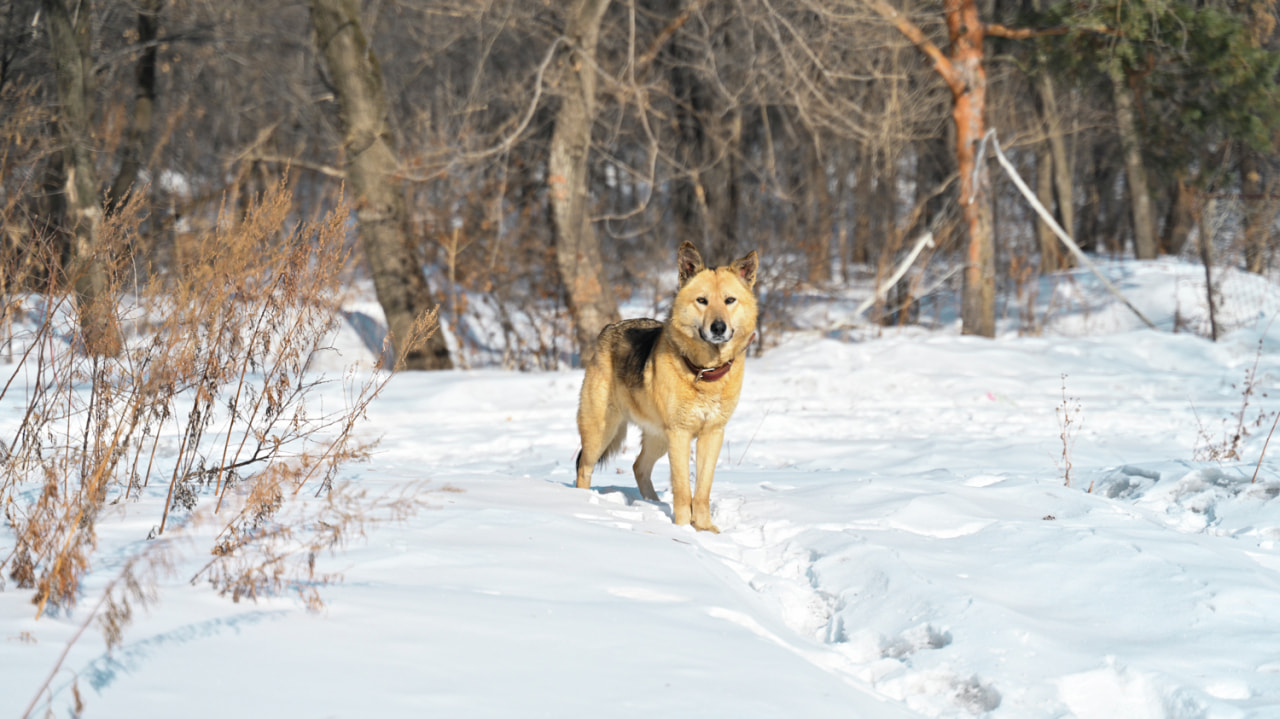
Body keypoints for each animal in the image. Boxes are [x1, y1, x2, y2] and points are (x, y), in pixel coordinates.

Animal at [573, 239, 757, 527]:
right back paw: (583, 505)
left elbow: (702, 491)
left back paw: (653, 504)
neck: (704, 371)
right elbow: (683, 491)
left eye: (730, 301)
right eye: (702, 301)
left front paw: (704, 529)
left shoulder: (712, 434)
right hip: (601, 431)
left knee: (639, 467)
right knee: (584, 468)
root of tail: (608, 328)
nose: (718, 328)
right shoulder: (680, 434)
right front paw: (683, 529)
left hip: (657, 438)